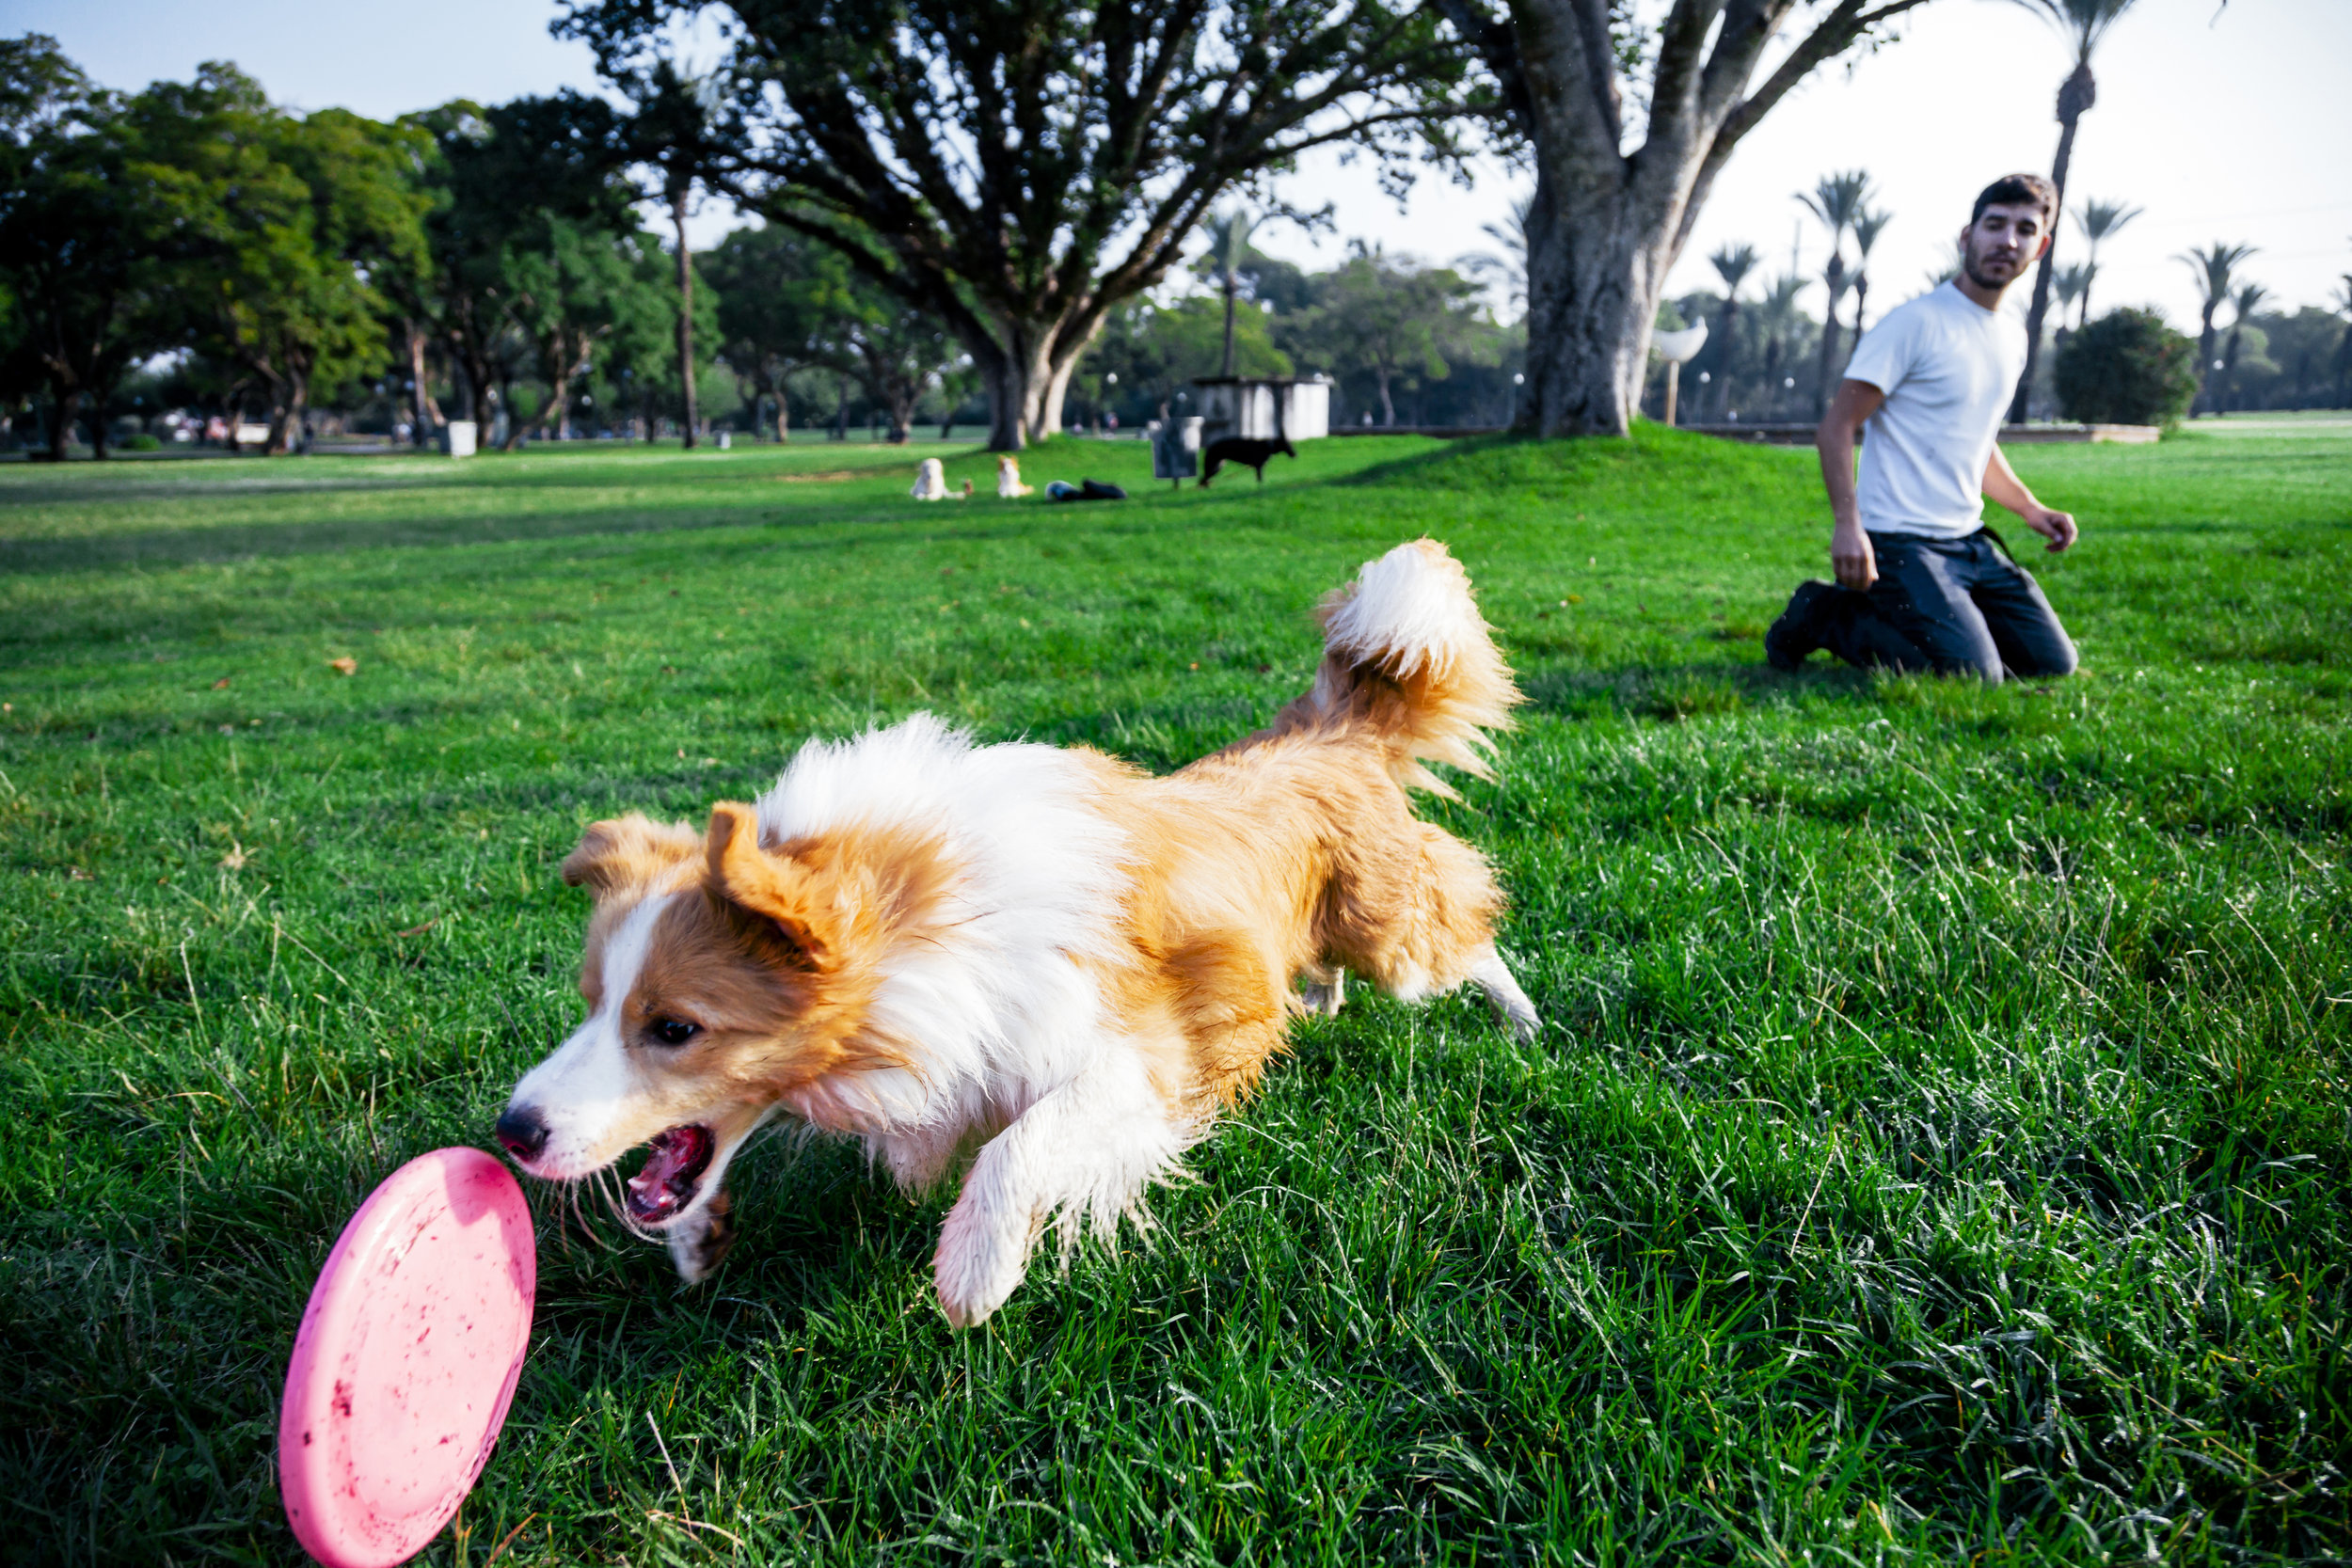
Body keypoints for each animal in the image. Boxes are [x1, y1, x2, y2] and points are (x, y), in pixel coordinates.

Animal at [491, 540, 1543, 1325]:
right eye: (591, 1002)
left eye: (675, 1027)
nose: (513, 1130)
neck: (922, 931)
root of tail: (1326, 733)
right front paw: (693, 1232)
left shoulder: (1142, 1051)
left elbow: (1020, 1144)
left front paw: (975, 1267)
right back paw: (1318, 999)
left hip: (1394, 935)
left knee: (1465, 922)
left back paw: (1523, 1018)